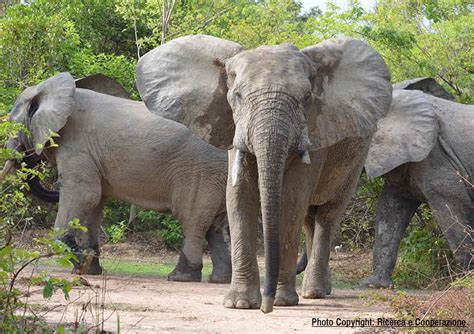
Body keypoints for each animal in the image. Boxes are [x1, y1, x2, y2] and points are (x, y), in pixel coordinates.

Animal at [1, 72, 231, 284]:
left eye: (12, 125)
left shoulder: (77, 145)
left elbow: (85, 195)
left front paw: (82, 265)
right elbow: (94, 203)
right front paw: (89, 269)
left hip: (200, 172)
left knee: (193, 221)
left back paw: (179, 277)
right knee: (215, 226)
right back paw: (219, 279)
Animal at [136, 35, 392, 312]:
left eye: (306, 98)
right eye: (237, 96)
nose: (266, 307)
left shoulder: (314, 132)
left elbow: (290, 201)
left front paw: (282, 301)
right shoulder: (233, 128)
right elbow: (239, 196)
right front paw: (240, 304)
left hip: (356, 158)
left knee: (327, 215)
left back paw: (314, 292)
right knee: (309, 219)